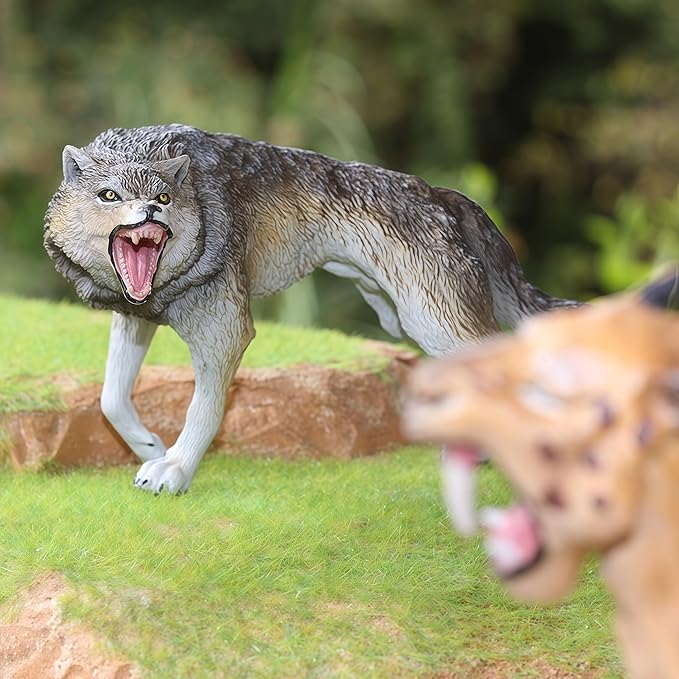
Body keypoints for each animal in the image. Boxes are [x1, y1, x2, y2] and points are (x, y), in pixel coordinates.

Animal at [44, 124, 577, 494]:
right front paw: (149, 445)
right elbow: (111, 398)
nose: (151, 211)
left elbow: (205, 409)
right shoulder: (136, 318)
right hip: (412, 322)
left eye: (163, 196)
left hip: (434, 322)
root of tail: (438, 193)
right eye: (109, 195)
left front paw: (175, 467)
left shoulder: (226, 331)